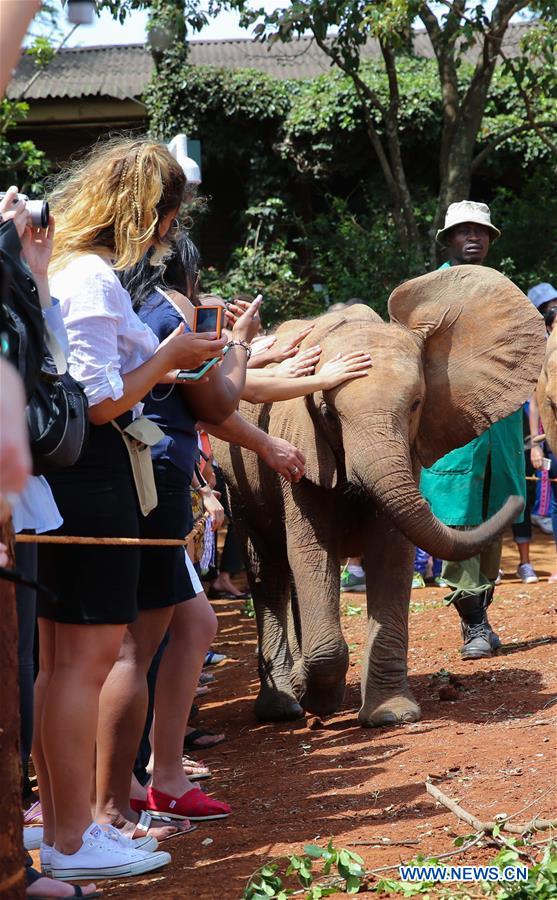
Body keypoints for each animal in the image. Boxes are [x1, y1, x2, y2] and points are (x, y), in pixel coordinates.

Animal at [215, 264, 544, 728]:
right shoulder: (298, 446)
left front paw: (391, 715)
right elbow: (311, 553)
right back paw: (284, 705)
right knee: (269, 568)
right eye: (328, 413)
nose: (518, 499)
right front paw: (320, 699)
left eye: (417, 404)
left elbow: (392, 553)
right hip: (236, 483)